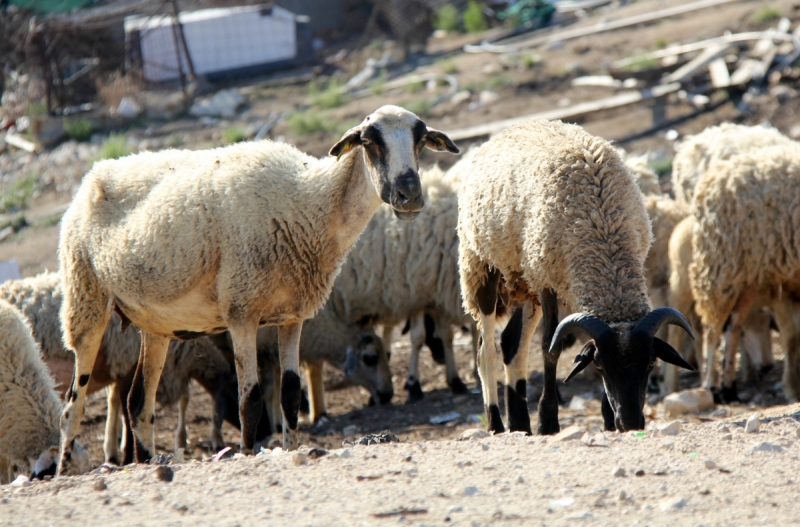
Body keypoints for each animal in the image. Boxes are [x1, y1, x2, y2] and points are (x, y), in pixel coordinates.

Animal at [456, 120, 692, 438]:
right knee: (486, 353)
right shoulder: (547, 282)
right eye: (601, 366)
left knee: (512, 346)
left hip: (525, 279)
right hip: (482, 264)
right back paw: (496, 423)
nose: (630, 423)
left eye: (651, 362)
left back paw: (520, 425)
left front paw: (607, 420)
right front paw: (548, 421)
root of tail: (511, 127)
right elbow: (549, 347)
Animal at [688, 142, 800, 402]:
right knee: (712, 330)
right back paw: (711, 386)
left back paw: (728, 388)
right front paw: (792, 387)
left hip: (748, 278)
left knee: (733, 327)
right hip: (721, 268)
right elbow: (792, 336)